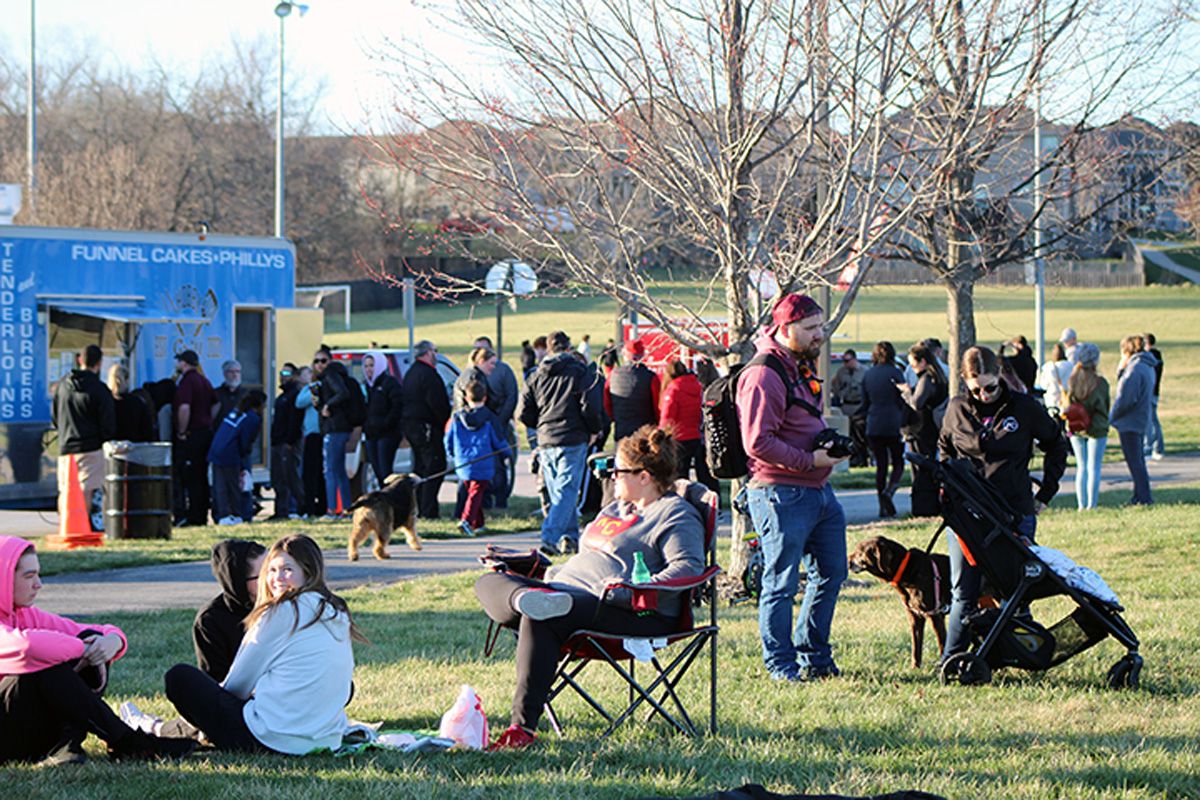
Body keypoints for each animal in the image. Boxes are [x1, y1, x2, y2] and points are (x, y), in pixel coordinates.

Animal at [849, 537, 950, 671]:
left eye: (859, 552)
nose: (847, 562)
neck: (906, 570)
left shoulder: (935, 616)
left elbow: (943, 645)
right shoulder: (914, 617)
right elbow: (916, 647)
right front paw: (915, 668)